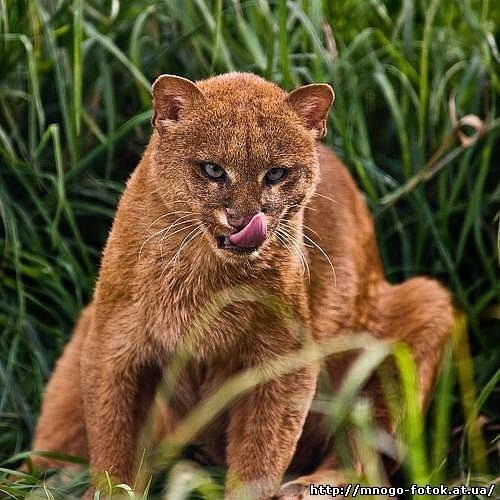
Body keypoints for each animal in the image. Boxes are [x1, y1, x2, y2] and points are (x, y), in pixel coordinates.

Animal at [28, 72, 454, 498]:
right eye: (213, 170)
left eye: (276, 174)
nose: (244, 218)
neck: (202, 278)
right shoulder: (115, 348)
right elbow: (114, 446)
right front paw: (111, 489)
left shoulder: (284, 361)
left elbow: (260, 453)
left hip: (424, 305)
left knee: (364, 455)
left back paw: (304, 487)